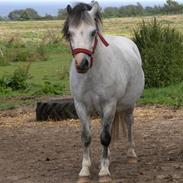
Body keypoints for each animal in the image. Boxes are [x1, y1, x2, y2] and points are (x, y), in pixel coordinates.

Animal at [63, 1, 144, 182]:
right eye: (69, 33)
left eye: (93, 32)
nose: (82, 63)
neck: (91, 75)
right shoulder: (80, 105)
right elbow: (86, 137)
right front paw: (85, 170)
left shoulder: (109, 105)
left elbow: (105, 137)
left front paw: (104, 171)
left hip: (129, 105)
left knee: (129, 123)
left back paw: (131, 153)